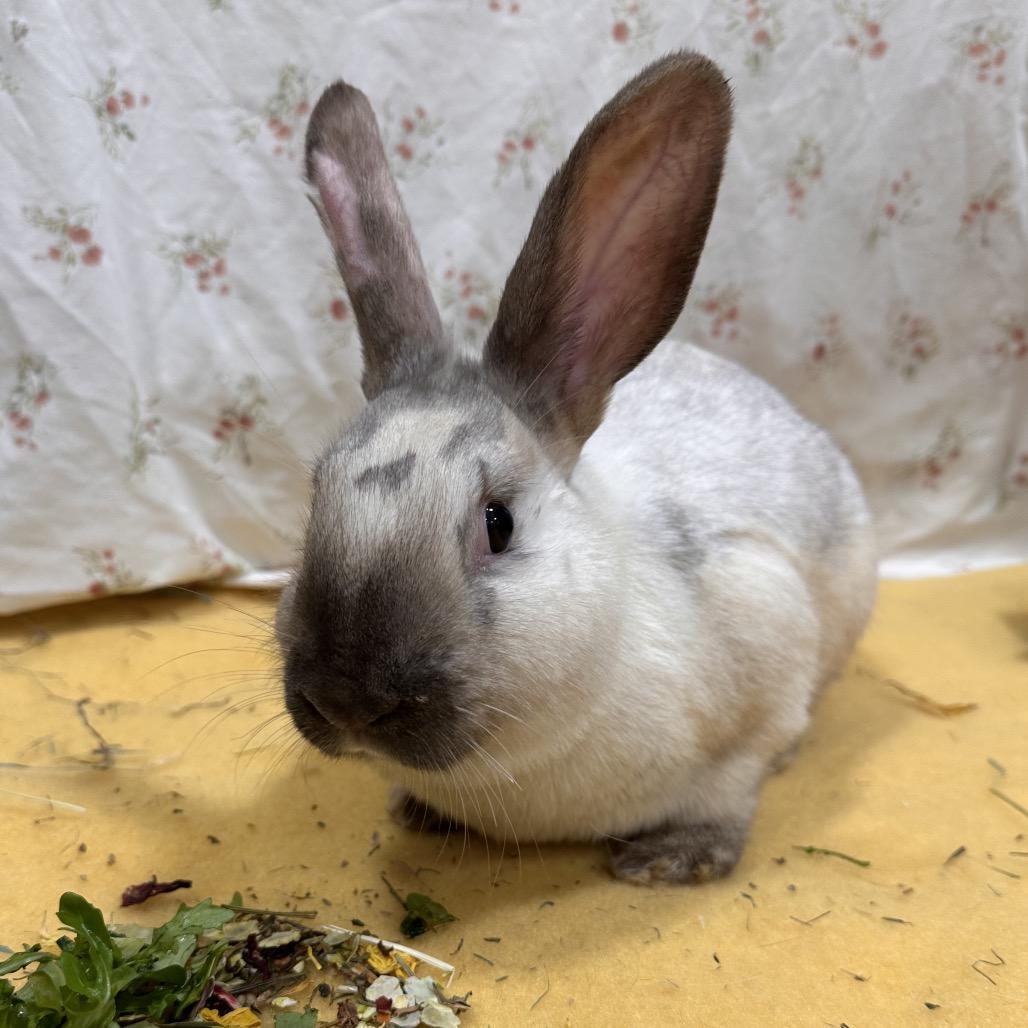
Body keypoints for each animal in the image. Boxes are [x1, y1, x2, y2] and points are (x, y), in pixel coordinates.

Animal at [276, 51, 878, 885]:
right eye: (316, 497)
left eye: (498, 523)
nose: (346, 700)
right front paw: (417, 812)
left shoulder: (764, 644)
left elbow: (738, 782)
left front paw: (674, 860)